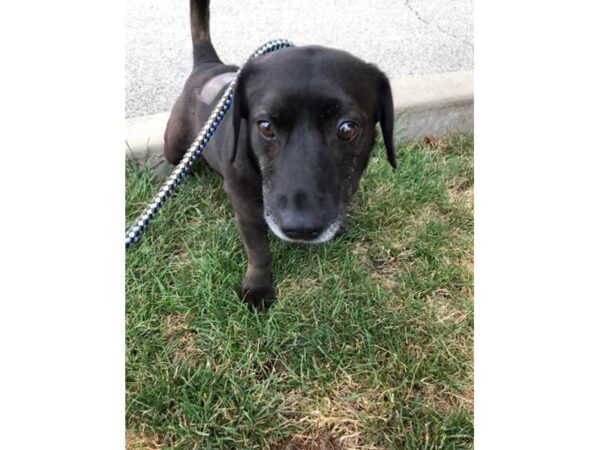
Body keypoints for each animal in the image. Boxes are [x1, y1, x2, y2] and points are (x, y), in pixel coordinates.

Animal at [166, 0, 396, 308]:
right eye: (265, 126)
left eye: (347, 128)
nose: (301, 229)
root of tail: (208, 65)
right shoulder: (247, 211)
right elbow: (259, 252)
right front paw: (257, 287)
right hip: (173, 145)